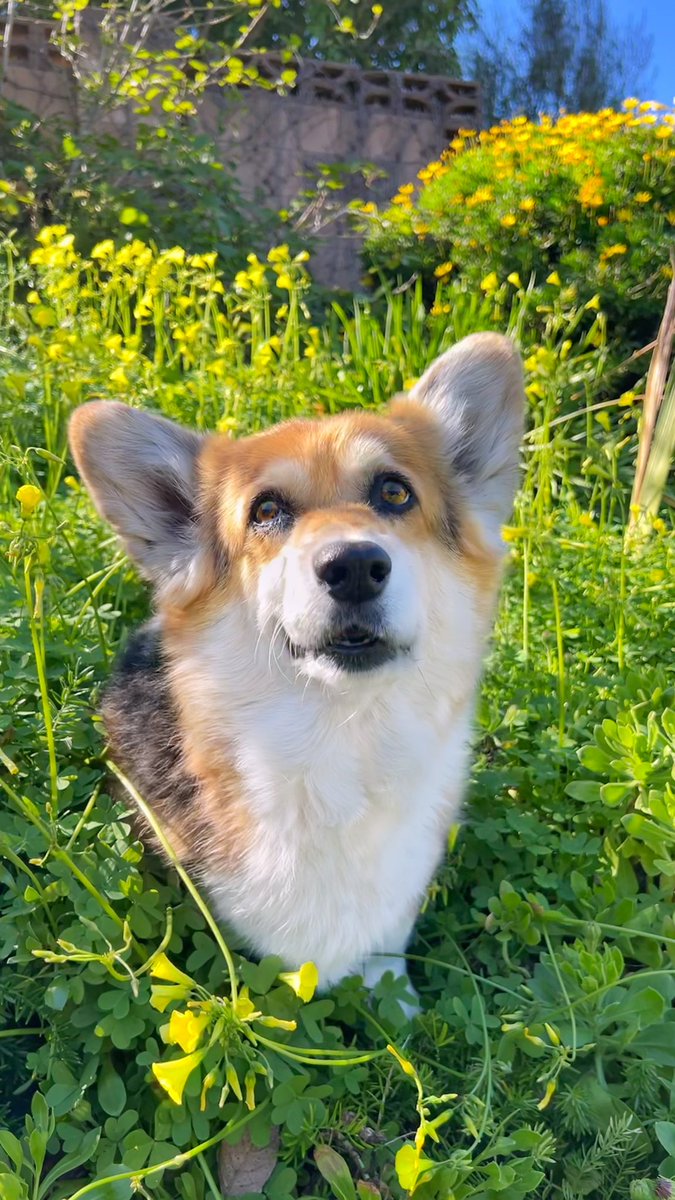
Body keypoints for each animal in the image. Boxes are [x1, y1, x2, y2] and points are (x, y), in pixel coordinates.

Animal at [68, 333, 523, 998]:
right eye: (266, 511)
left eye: (394, 492)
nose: (354, 566)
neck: (340, 738)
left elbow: (385, 950)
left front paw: (396, 1000)